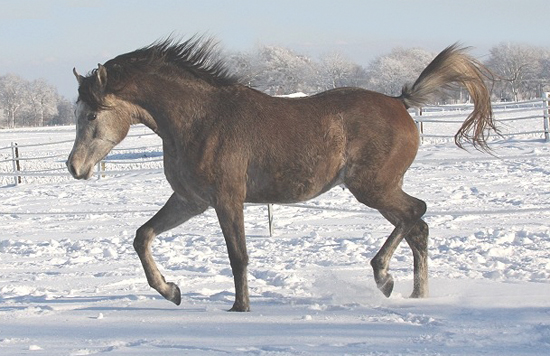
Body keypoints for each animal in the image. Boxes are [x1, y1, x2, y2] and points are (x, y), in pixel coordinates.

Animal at [67, 34, 498, 310]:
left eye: (91, 115)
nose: (74, 167)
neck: (199, 120)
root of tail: (401, 102)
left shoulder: (227, 200)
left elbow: (238, 255)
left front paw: (240, 308)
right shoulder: (191, 201)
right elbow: (142, 236)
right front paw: (171, 291)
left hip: (373, 187)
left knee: (415, 214)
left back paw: (384, 278)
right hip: (379, 190)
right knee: (418, 227)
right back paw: (416, 295)